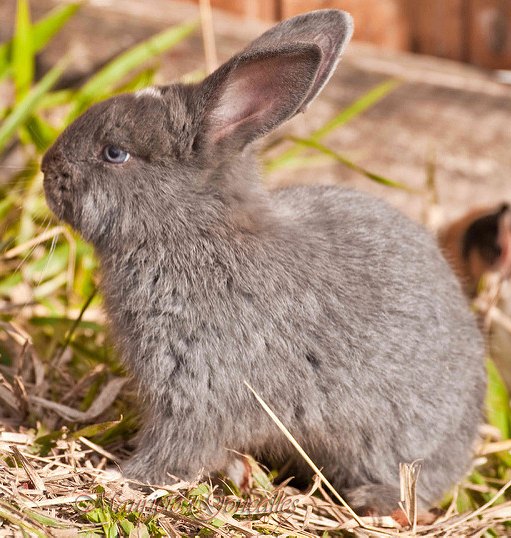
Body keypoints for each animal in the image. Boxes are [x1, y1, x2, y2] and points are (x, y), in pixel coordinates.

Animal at [42, 10, 486, 512]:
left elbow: (176, 450)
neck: (192, 232)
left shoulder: (197, 390)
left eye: (115, 153)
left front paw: (121, 477)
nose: (46, 167)